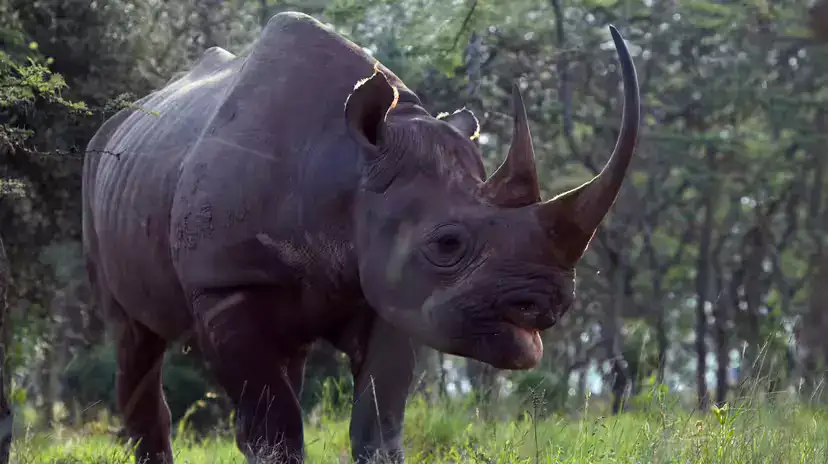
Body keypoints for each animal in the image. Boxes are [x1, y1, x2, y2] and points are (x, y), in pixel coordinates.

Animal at [81, 11, 639, 464]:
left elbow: (378, 416)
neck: (349, 166)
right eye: (447, 245)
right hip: (97, 173)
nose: (547, 304)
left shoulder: (392, 291)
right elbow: (275, 423)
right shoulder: (225, 285)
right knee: (134, 339)